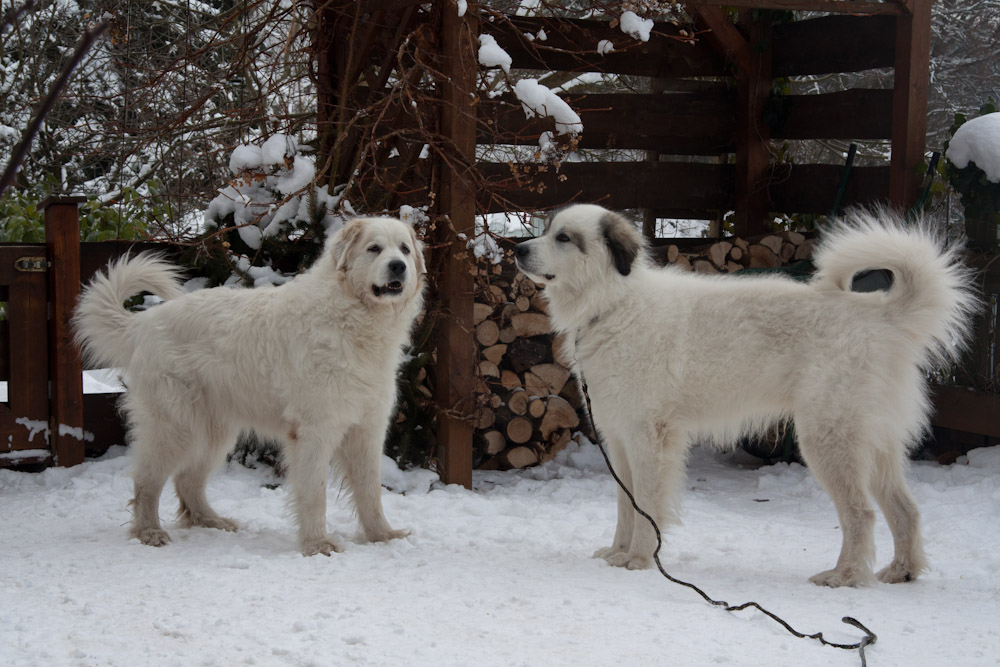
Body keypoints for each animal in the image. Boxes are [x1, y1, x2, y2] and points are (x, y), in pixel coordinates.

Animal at [74, 218, 424, 560]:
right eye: (374, 249)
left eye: (404, 250)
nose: (397, 266)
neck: (353, 317)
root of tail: (145, 321)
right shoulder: (314, 431)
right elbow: (315, 494)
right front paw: (317, 545)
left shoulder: (367, 430)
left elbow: (370, 491)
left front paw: (382, 536)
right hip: (176, 427)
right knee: (147, 481)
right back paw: (150, 532)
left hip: (213, 432)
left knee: (188, 481)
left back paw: (212, 521)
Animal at [516, 205, 976, 588]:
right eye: (548, 230)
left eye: (564, 238)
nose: (518, 250)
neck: (614, 303)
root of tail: (879, 313)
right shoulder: (620, 439)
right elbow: (625, 506)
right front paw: (618, 552)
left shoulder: (650, 439)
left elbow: (646, 504)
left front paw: (640, 559)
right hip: (875, 446)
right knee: (906, 510)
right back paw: (902, 571)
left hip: (828, 439)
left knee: (861, 514)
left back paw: (844, 576)